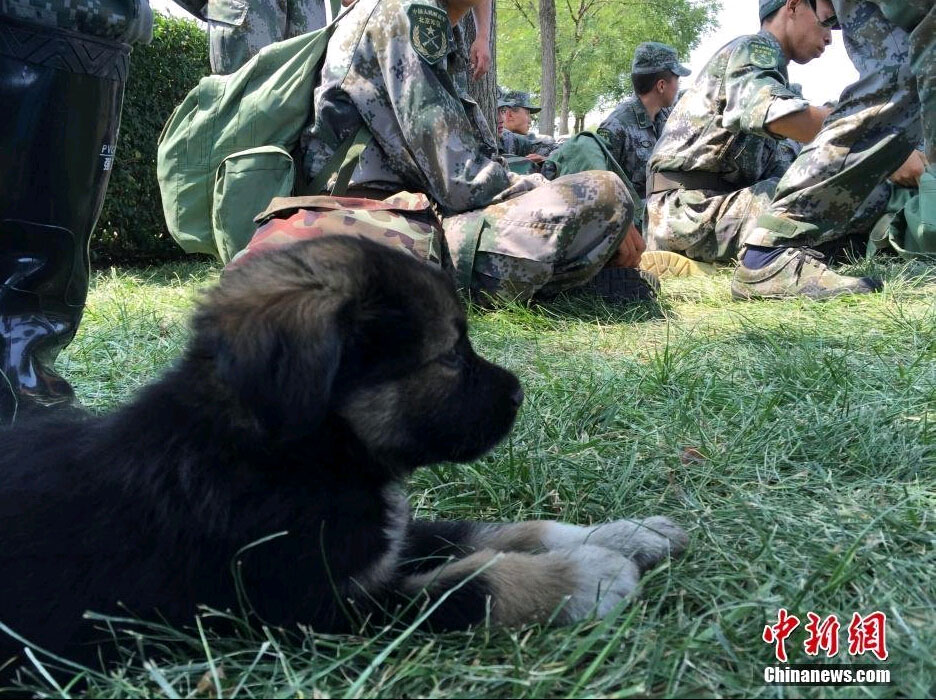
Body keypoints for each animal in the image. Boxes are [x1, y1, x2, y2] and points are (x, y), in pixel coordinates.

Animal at [0, 235, 688, 680]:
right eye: (451, 356)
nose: (520, 393)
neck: (285, 455)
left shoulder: (382, 539)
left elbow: (500, 530)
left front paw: (625, 534)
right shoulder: (320, 609)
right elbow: (469, 583)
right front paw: (584, 576)